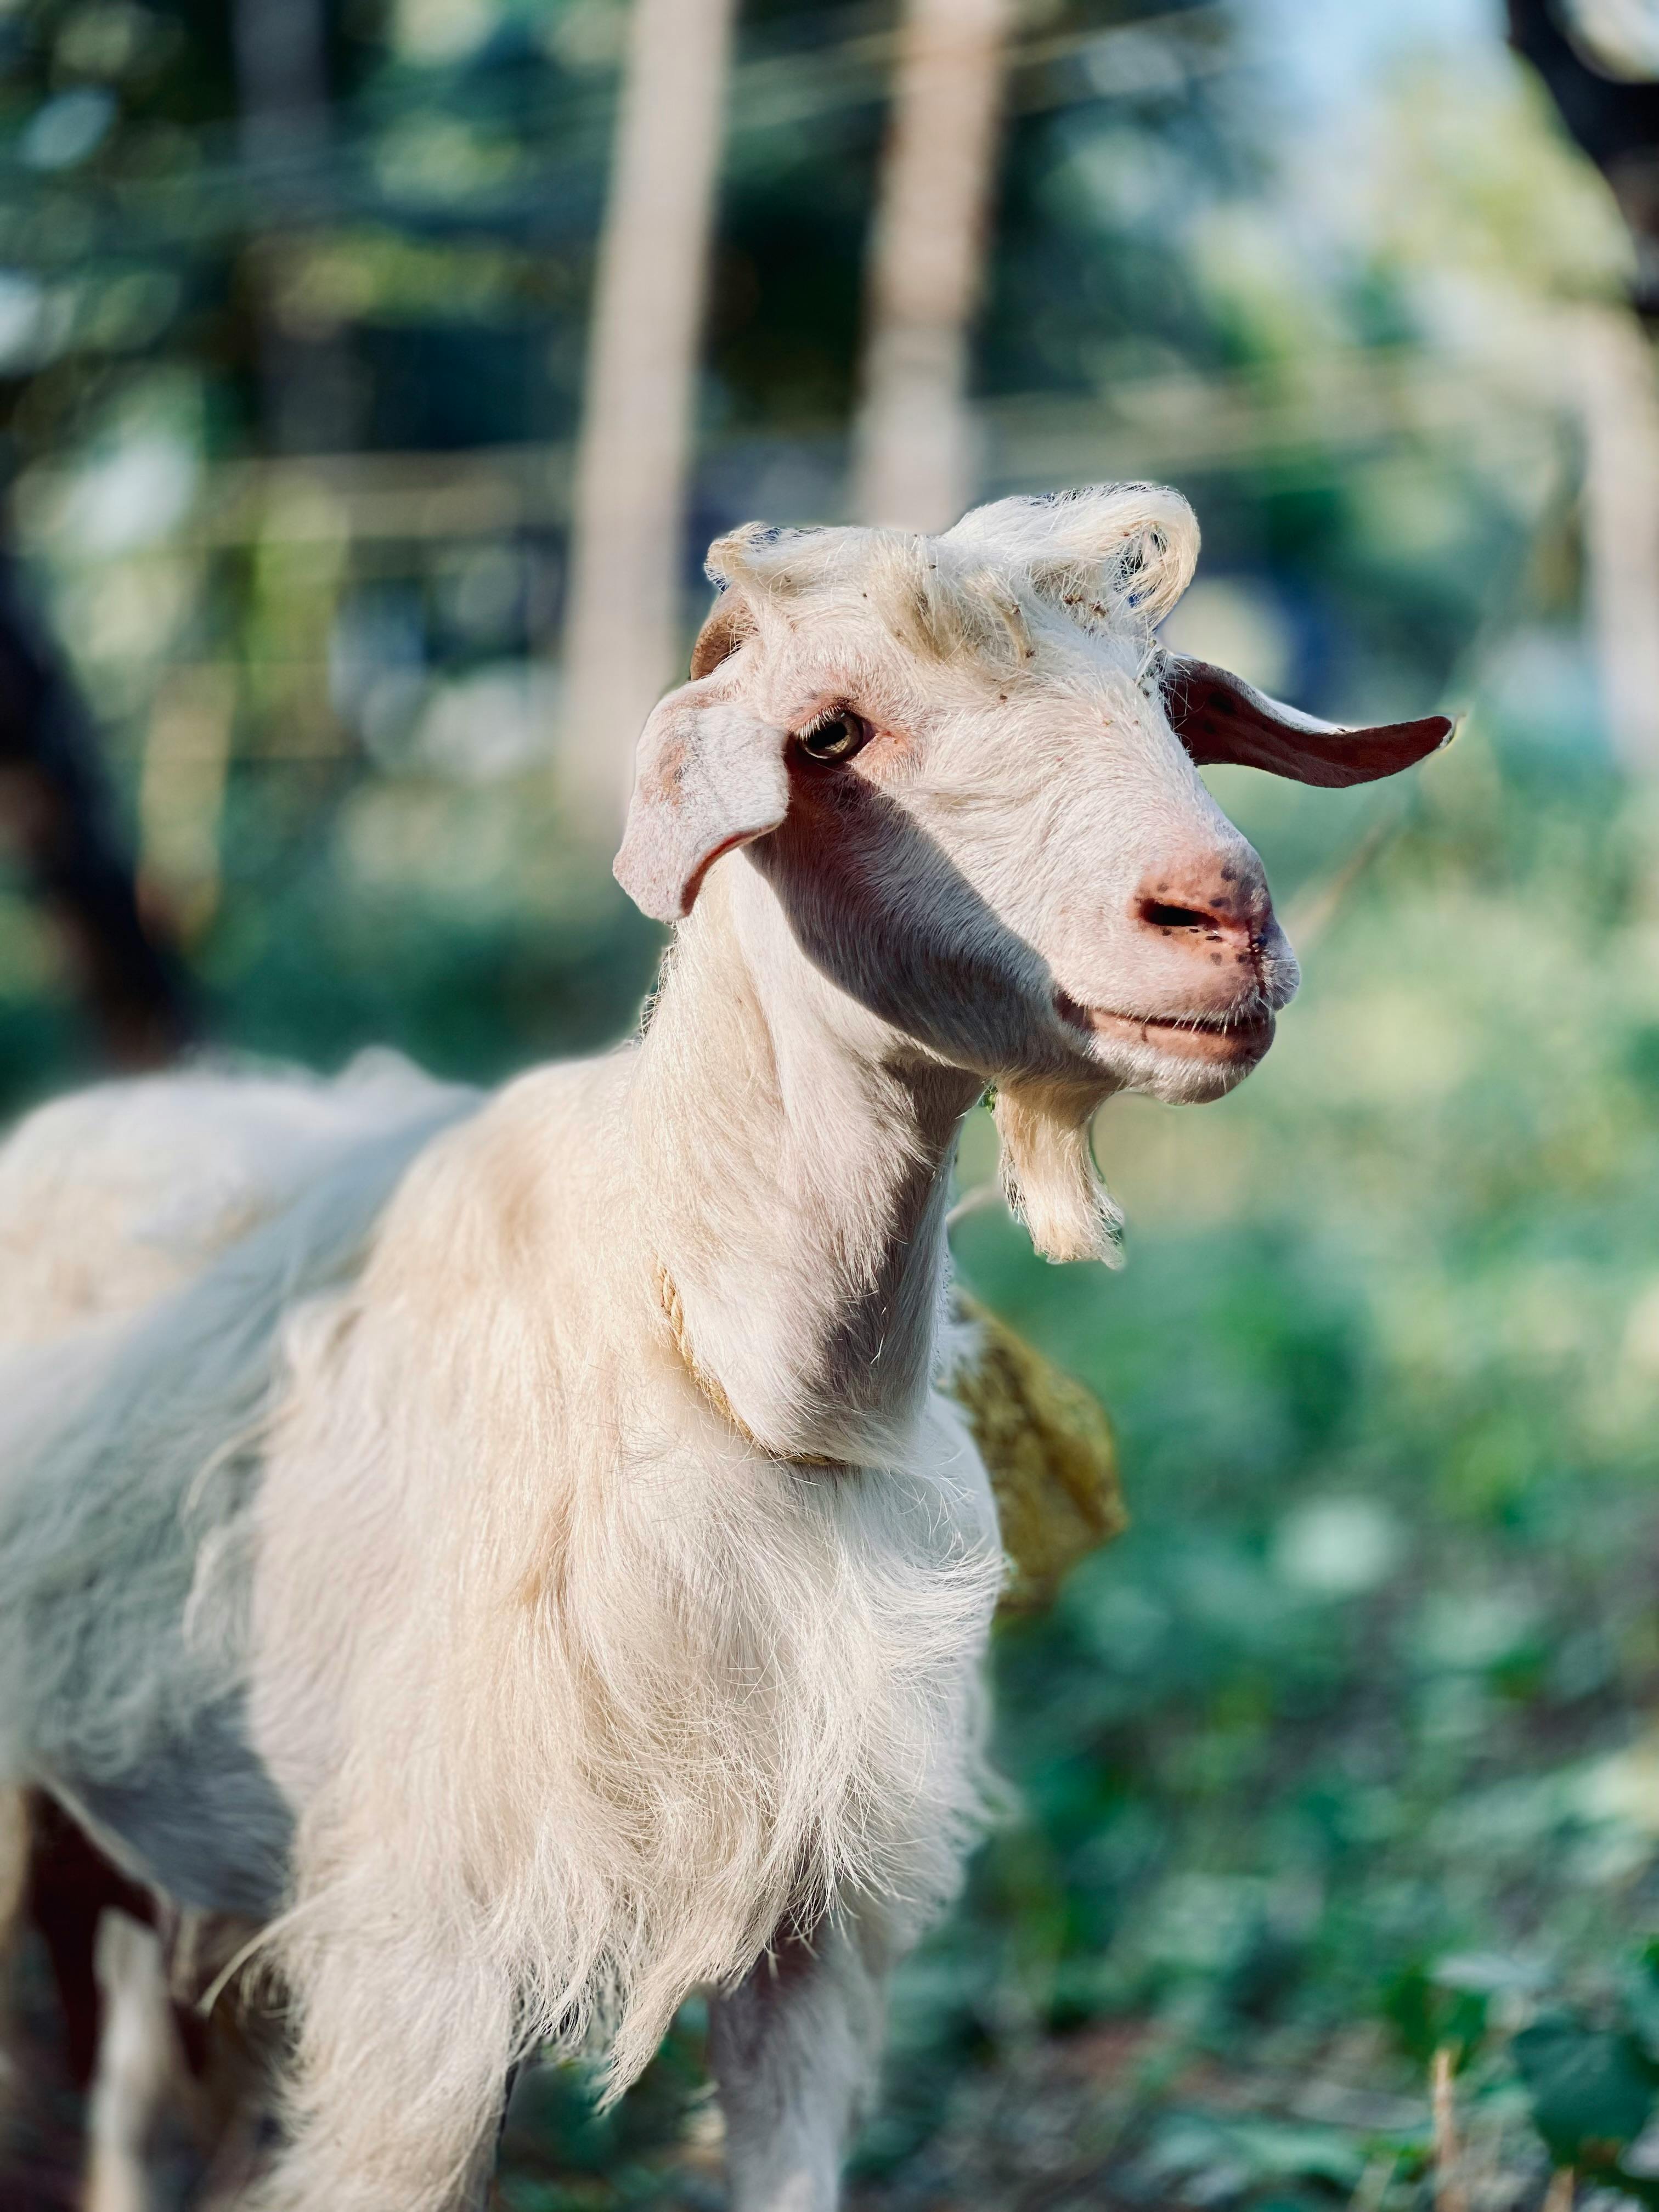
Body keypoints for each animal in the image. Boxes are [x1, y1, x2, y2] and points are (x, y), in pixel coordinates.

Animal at [0, 482, 1448, 2211]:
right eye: (829, 734)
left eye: (1172, 704)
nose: (1222, 916)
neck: (729, 1351)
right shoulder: (423, 1964)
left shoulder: (815, 1914)